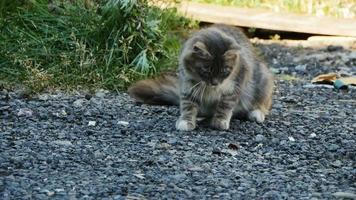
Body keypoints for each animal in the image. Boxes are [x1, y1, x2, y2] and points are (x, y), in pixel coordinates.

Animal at [129, 24, 274, 130]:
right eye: (206, 70)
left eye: (224, 71)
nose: (215, 83)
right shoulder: (189, 85)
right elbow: (188, 106)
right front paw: (186, 121)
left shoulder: (235, 86)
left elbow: (225, 106)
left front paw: (220, 121)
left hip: (263, 79)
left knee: (262, 104)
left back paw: (256, 114)